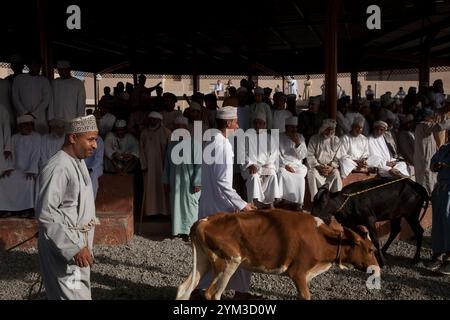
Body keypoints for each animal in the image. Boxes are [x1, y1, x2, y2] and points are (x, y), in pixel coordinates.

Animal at [176, 209, 380, 302]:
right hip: (228, 262)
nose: (377, 269)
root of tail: (204, 221)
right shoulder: (298, 273)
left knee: (184, 289)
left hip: (204, 261)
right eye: (371, 249)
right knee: (212, 294)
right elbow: (306, 296)